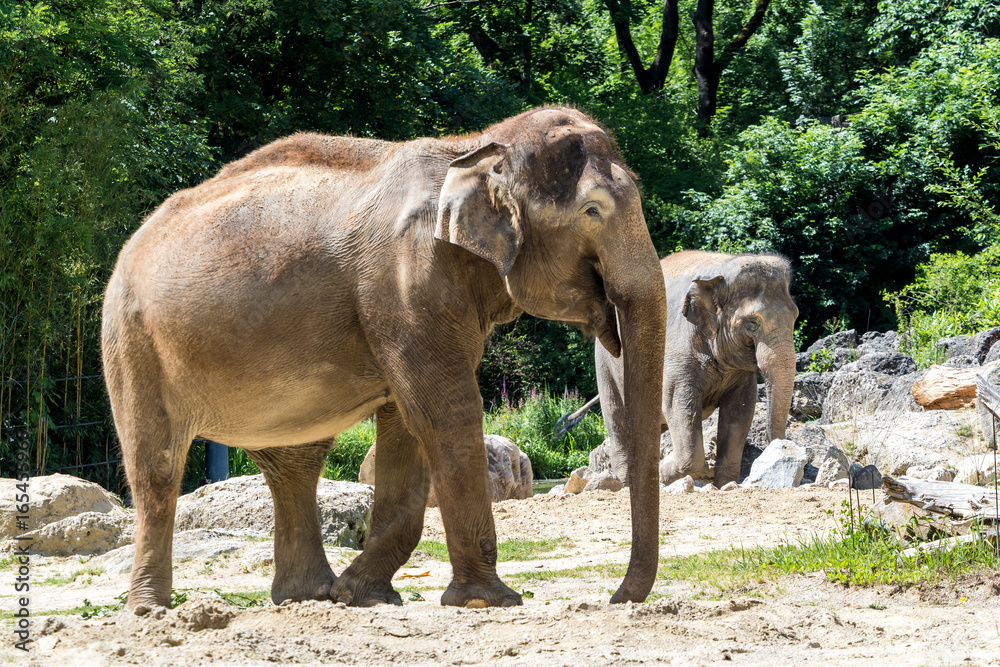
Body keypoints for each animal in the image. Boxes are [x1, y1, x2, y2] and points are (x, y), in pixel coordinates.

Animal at [101, 106, 667, 612]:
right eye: (592, 211)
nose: (615, 599)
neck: (475, 145)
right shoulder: (405, 281)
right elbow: (444, 412)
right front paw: (490, 601)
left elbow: (406, 424)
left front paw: (361, 595)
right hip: (132, 342)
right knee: (157, 466)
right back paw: (150, 610)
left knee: (295, 463)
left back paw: (306, 597)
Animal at [597, 250, 797, 488]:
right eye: (752, 323)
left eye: (795, 317)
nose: (779, 448)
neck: (723, 268)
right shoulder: (677, 355)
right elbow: (677, 406)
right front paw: (664, 471)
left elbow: (740, 411)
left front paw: (725, 485)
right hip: (606, 361)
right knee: (617, 420)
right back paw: (625, 483)